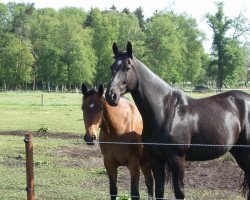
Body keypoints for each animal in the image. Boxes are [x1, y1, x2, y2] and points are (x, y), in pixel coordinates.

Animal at [105, 41, 250, 199]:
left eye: (127, 67)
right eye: (112, 67)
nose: (111, 96)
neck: (166, 111)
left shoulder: (177, 159)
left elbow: (179, 192)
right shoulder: (156, 159)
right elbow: (159, 190)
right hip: (239, 152)